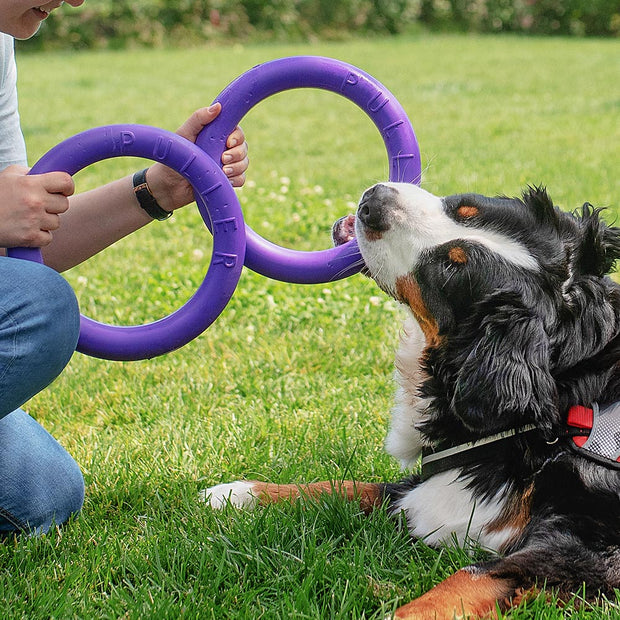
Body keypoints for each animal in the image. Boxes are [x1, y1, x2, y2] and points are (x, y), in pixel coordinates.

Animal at [203, 182, 620, 616]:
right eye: (466, 208)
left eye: (451, 269)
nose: (374, 201)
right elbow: (348, 486)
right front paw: (240, 492)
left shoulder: (586, 551)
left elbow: (466, 579)